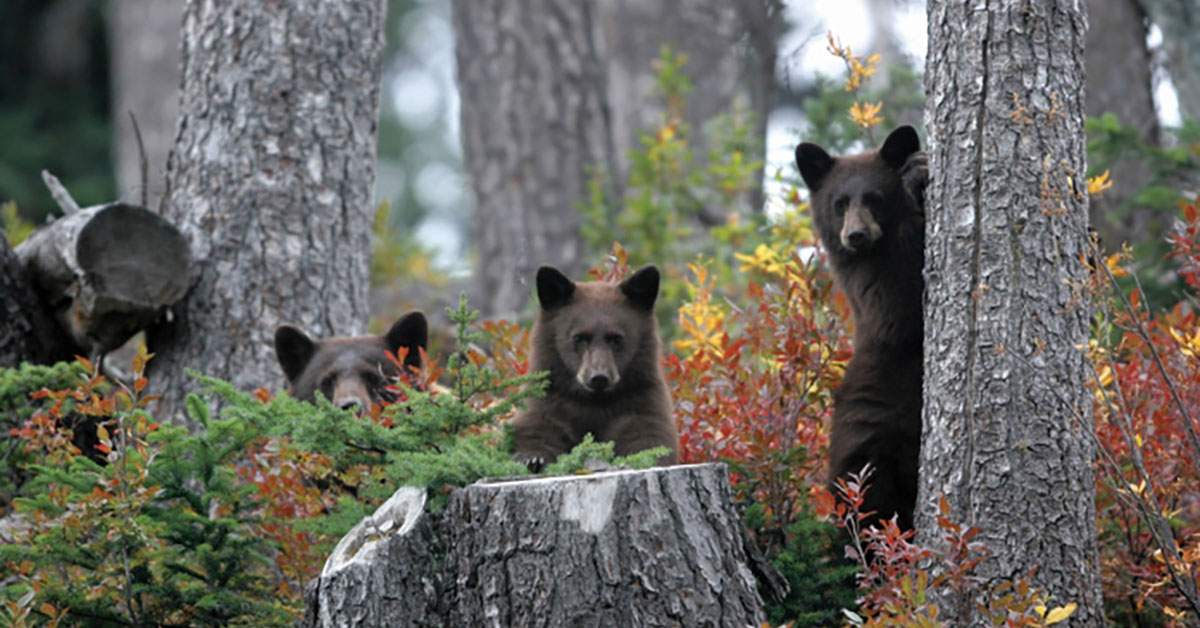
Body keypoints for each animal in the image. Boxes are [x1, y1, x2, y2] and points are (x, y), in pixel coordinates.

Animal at [511, 262, 681, 468]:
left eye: (616, 338)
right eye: (579, 337)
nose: (599, 377)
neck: (593, 402)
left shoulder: (642, 399)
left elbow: (648, 435)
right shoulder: (548, 398)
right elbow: (538, 427)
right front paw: (532, 457)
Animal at [796, 126, 926, 530]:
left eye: (873, 198)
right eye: (840, 202)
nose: (855, 235)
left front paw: (918, 171)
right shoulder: (864, 282)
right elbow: (899, 307)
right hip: (866, 433)